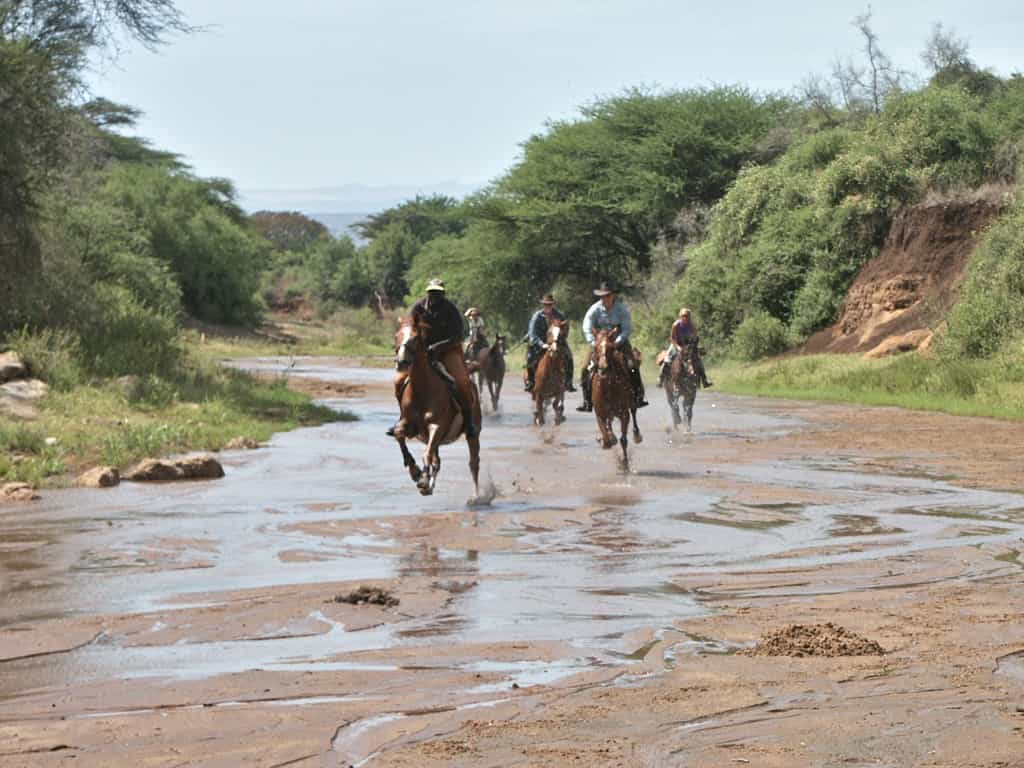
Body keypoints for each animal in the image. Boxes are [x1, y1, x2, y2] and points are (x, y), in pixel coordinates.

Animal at [392, 318, 481, 498]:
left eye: (415, 338)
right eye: (397, 336)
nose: (401, 362)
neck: (422, 390)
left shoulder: (437, 426)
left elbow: (426, 454)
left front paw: (422, 479)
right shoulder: (408, 424)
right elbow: (398, 435)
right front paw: (415, 472)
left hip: (473, 434)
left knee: (473, 463)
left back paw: (477, 497)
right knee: (437, 461)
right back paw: (428, 484)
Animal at [591, 328, 642, 469]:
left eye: (611, 348)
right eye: (595, 347)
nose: (603, 368)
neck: (609, 386)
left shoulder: (624, 414)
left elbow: (623, 439)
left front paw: (624, 463)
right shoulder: (600, 414)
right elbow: (606, 438)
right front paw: (605, 439)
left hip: (632, 405)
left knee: (634, 413)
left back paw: (637, 435)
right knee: (609, 422)